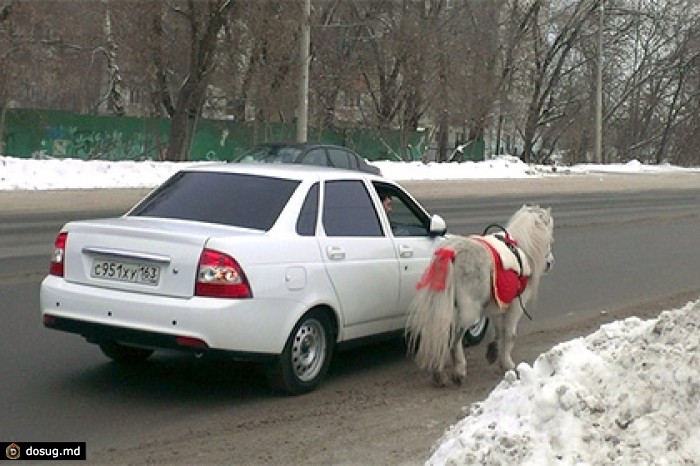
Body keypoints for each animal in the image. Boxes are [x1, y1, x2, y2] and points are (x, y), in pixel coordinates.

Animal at [404, 204, 552, 386]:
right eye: (549, 238)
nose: (549, 263)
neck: (522, 250)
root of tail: (451, 252)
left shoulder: (497, 306)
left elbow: (499, 331)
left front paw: (494, 353)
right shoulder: (516, 306)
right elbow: (509, 334)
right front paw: (508, 364)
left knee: (439, 334)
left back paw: (439, 374)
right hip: (468, 311)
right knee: (454, 339)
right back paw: (458, 371)